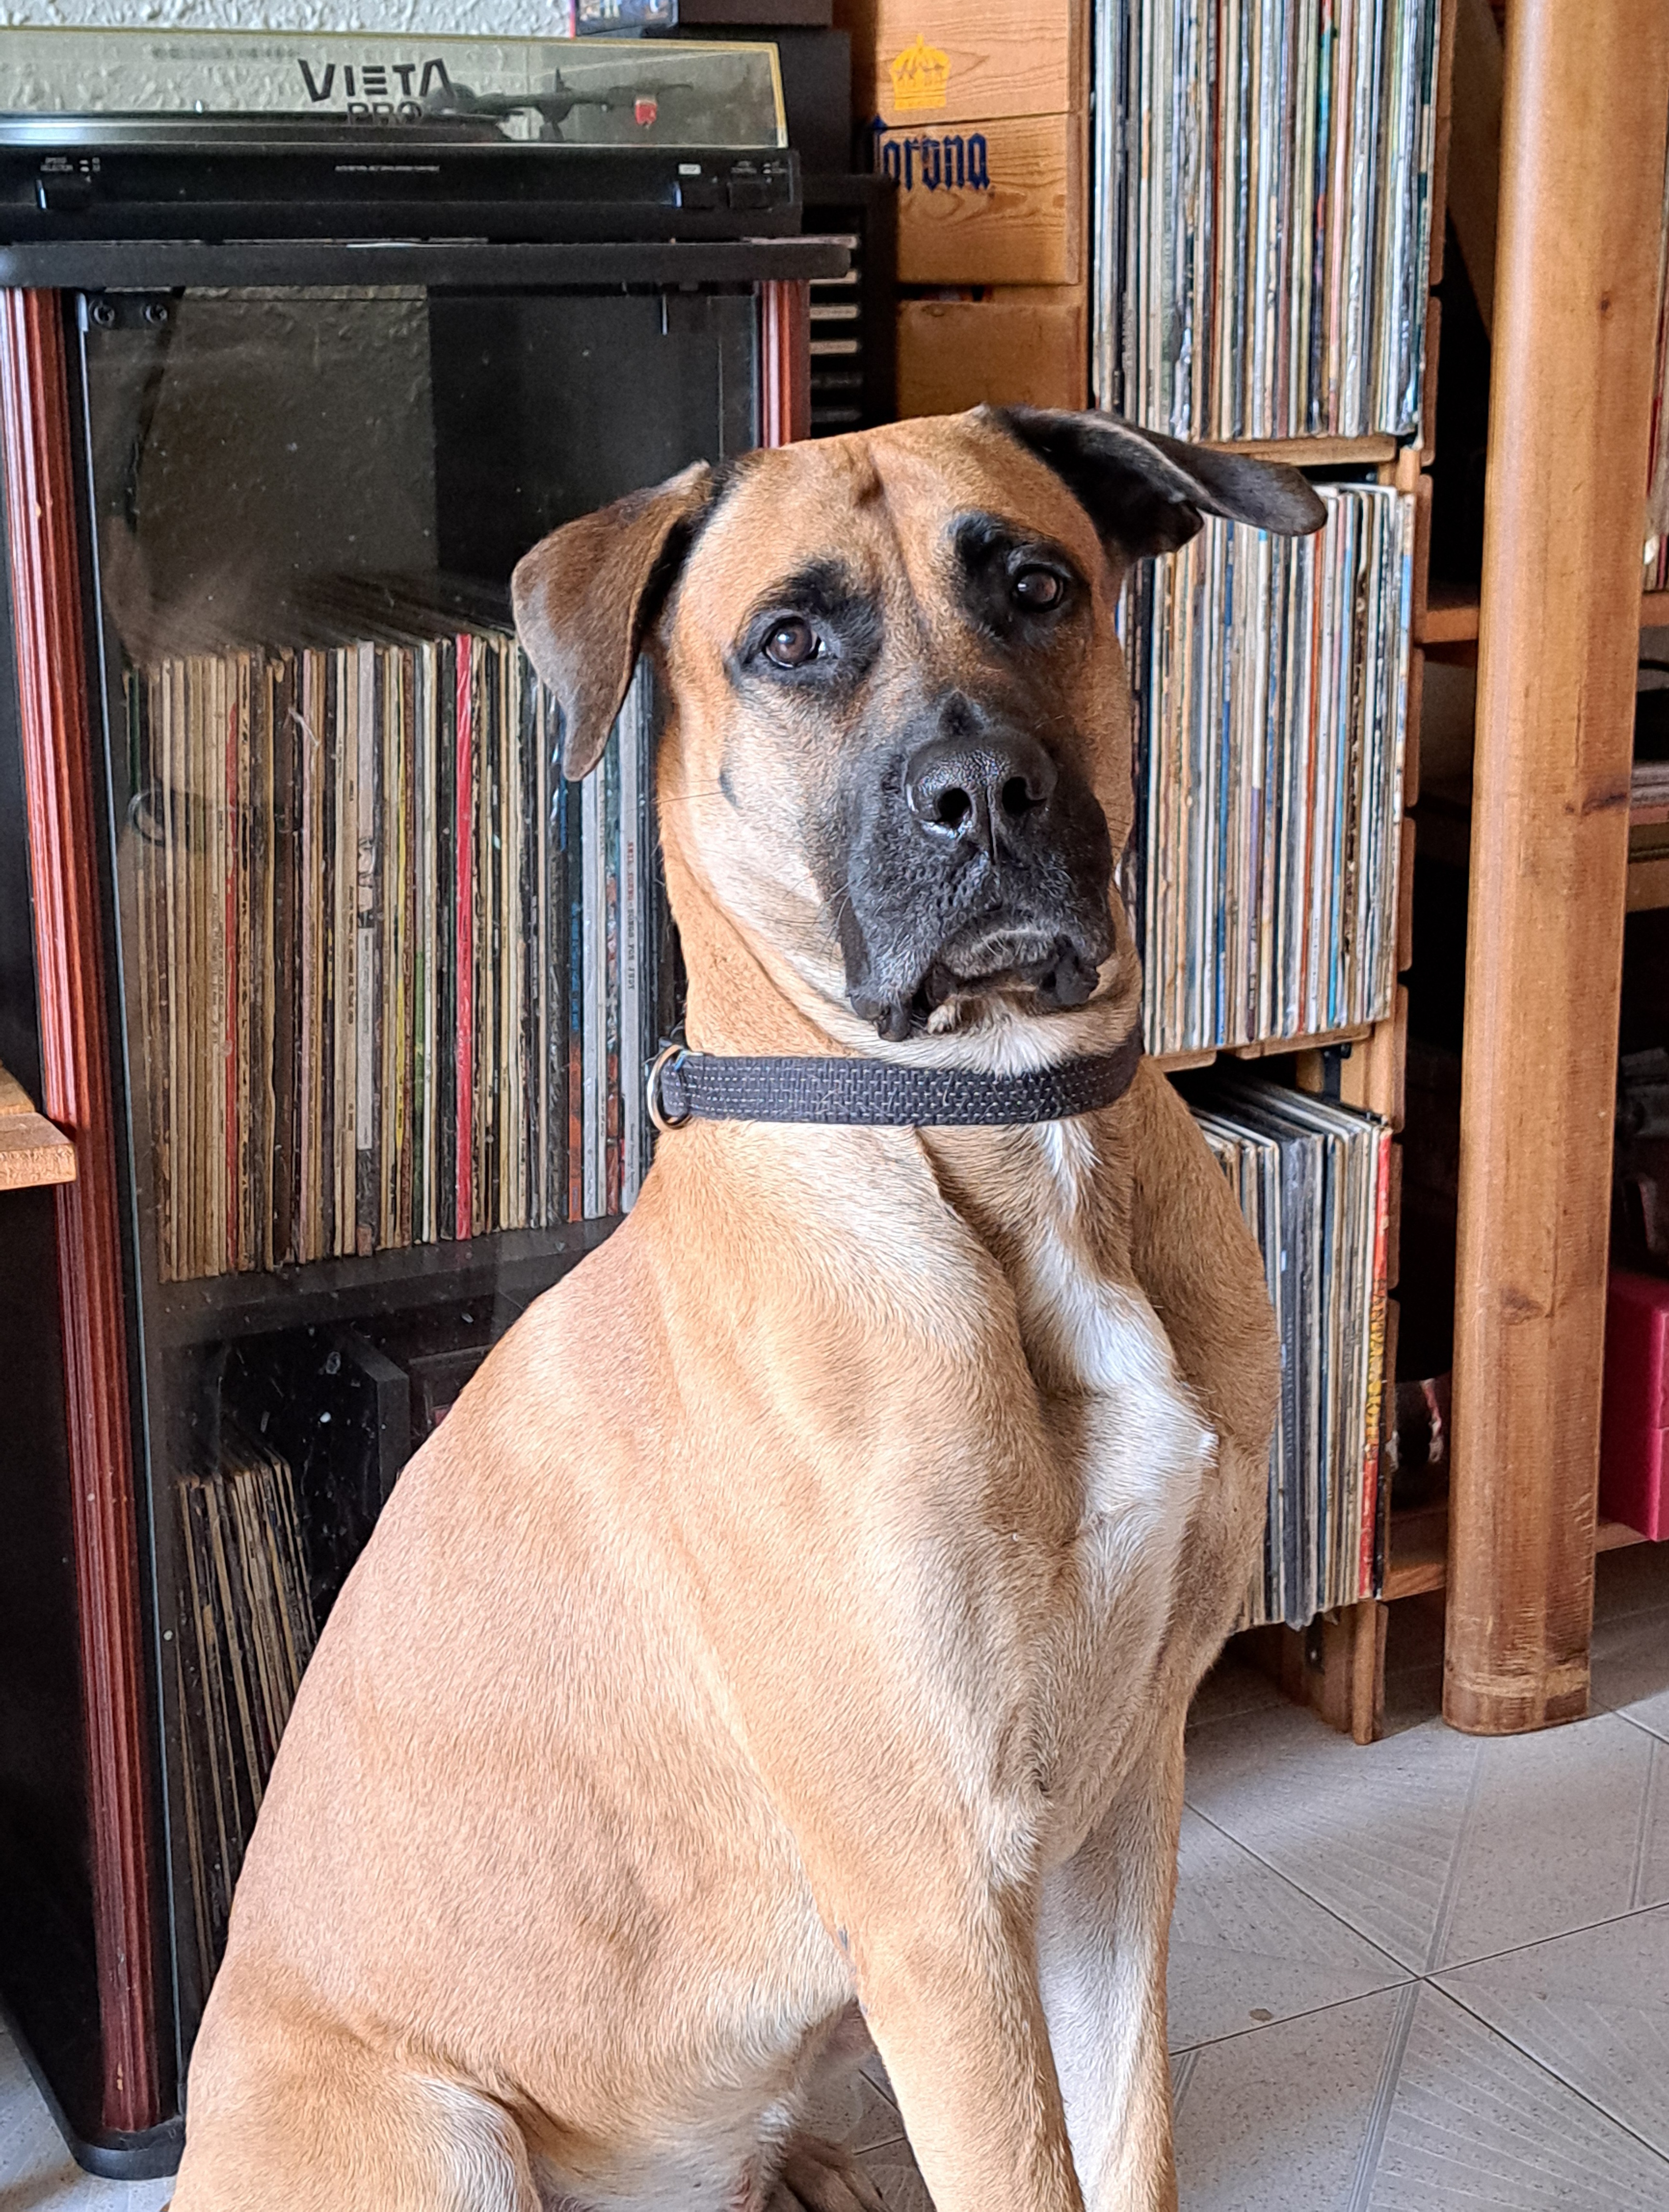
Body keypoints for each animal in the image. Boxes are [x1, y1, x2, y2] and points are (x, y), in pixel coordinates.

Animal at [169, 408, 1322, 2212]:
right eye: (789, 641)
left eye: (1036, 583)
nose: (982, 793)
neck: (997, 1126)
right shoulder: (935, 1905)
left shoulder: (1124, 1805)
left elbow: (1125, 2146)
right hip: (446, 2132)